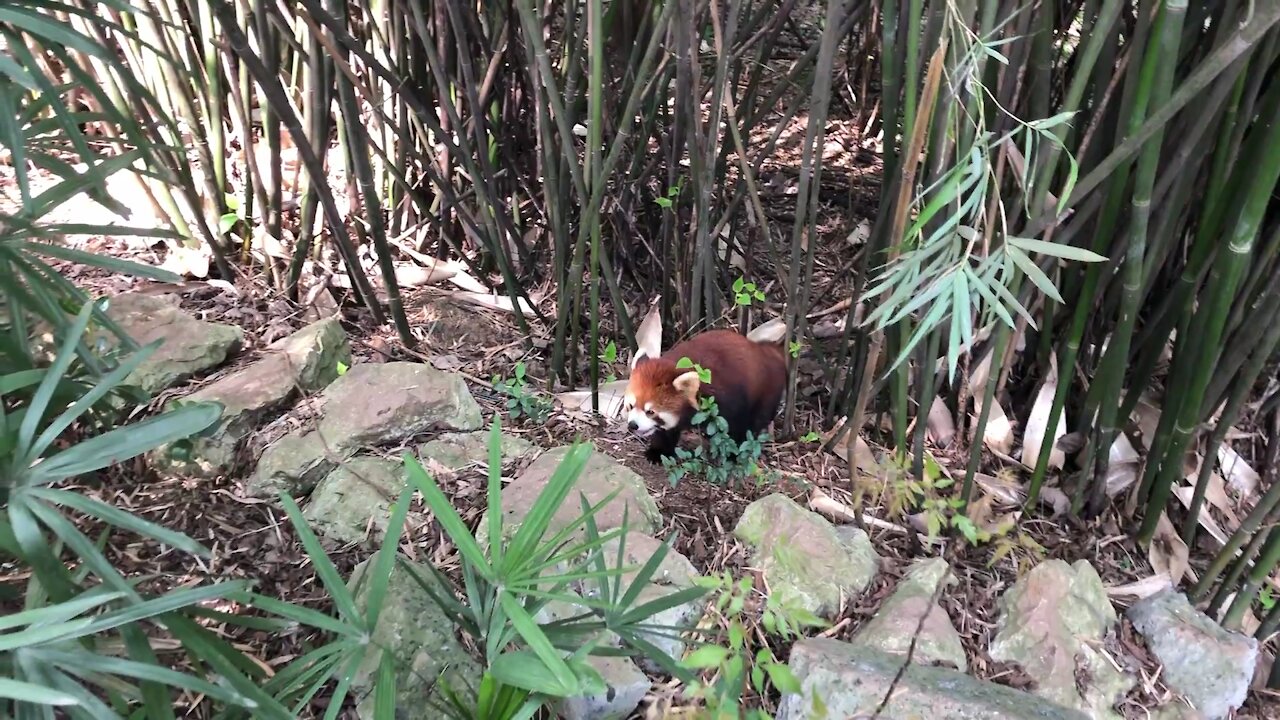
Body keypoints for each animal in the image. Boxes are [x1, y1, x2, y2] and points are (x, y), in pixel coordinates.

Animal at [622, 330, 788, 461]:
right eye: (630, 406)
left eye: (650, 411)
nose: (632, 425)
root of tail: (767, 352)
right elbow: (666, 432)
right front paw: (658, 451)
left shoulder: (729, 399)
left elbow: (738, 425)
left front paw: (733, 452)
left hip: (767, 391)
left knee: (758, 419)